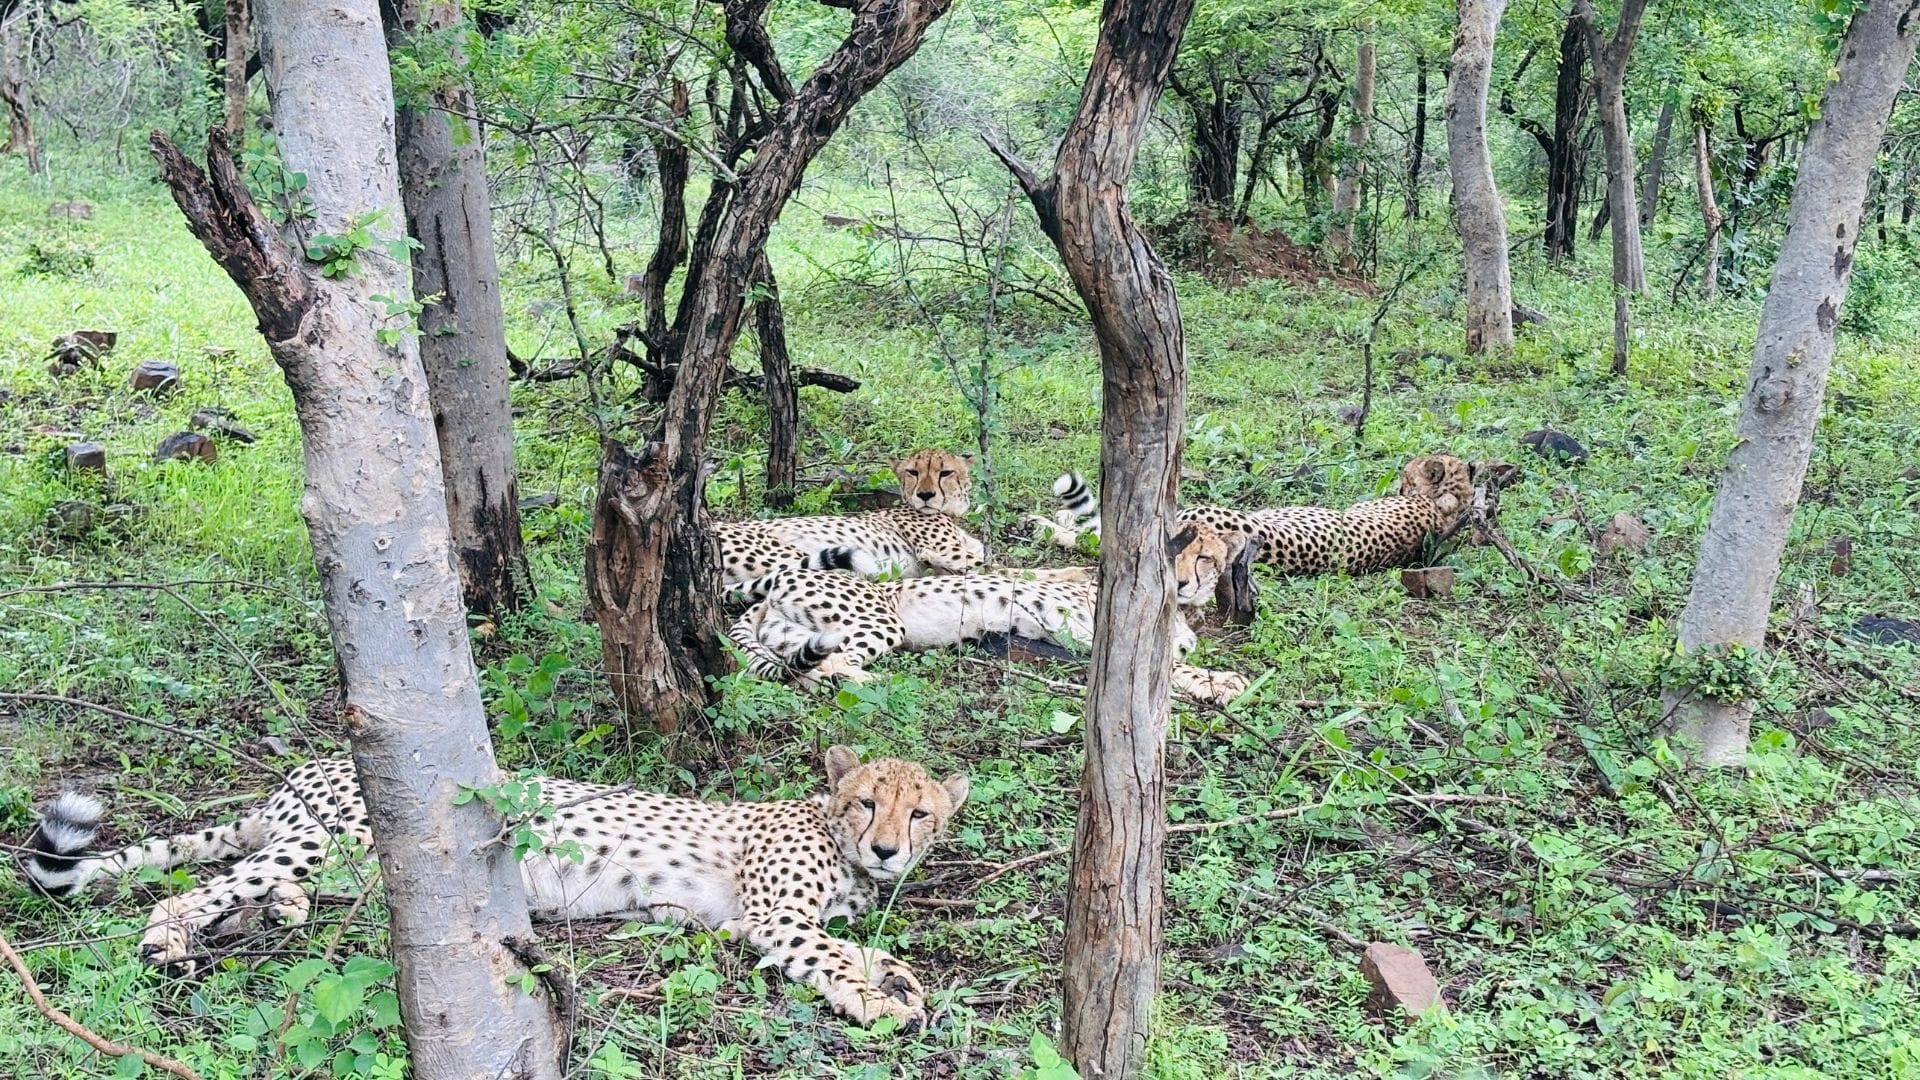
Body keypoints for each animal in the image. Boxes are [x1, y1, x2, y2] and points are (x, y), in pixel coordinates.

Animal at [18, 746, 969, 1031]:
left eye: (920, 812)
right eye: (867, 801)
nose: (888, 849)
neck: (835, 840)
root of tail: (305, 766)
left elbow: (853, 942)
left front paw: (893, 977)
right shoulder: (770, 919)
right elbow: (826, 947)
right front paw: (878, 995)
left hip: (347, 865)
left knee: (283, 893)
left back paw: (277, 913)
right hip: (336, 839)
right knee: (191, 890)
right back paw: (166, 940)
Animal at [717, 449, 985, 593]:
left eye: (945, 472)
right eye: (913, 472)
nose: (925, 495)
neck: (951, 514)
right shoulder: (940, 550)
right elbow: (987, 564)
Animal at [727, 523, 1249, 704]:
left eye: (1204, 558)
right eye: (1180, 552)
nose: (1182, 582)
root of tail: (766, 594)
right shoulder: (1097, 633)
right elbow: (1175, 665)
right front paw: (1224, 682)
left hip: (796, 634)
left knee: (794, 670)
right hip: (877, 620)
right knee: (826, 667)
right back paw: (882, 684)